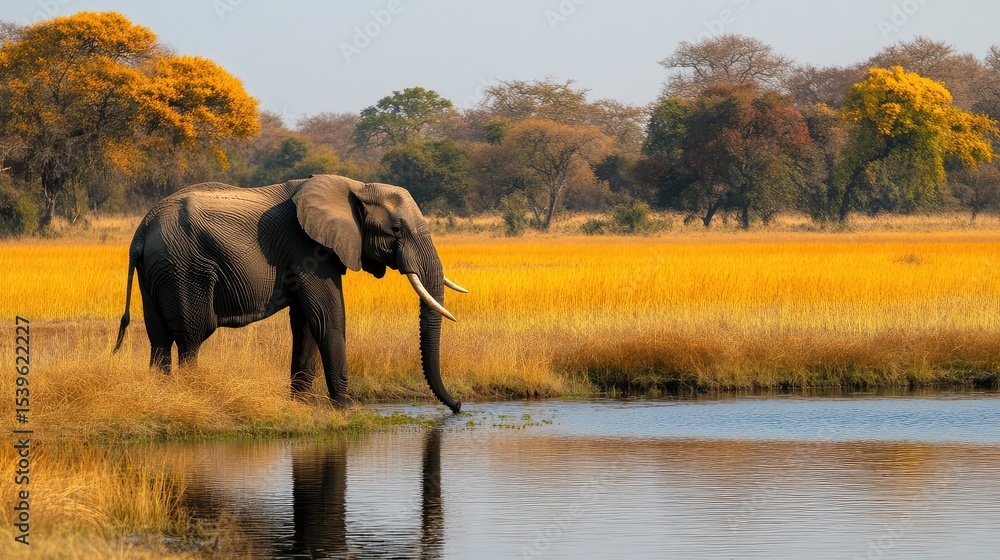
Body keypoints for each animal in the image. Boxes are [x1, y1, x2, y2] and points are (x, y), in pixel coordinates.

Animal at [112, 174, 465, 413]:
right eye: (396, 230)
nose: (459, 406)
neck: (355, 186)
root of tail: (142, 230)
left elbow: (307, 322)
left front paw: (301, 404)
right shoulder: (310, 248)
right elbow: (327, 317)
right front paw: (347, 407)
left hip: (157, 271)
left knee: (159, 339)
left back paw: (162, 395)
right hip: (185, 268)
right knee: (191, 336)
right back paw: (194, 395)